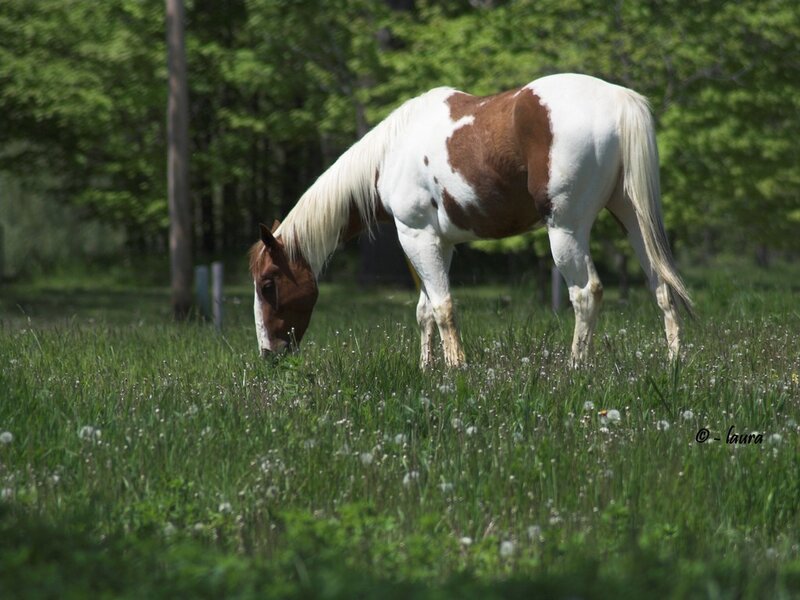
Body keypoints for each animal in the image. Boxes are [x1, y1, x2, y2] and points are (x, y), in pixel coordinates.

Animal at [249, 73, 693, 368]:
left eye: (268, 285)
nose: (269, 354)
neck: (389, 155)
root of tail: (619, 100)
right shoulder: (439, 243)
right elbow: (425, 310)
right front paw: (428, 370)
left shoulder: (416, 237)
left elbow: (443, 306)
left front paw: (455, 371)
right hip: (631, 217)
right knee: (660, 284)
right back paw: (672, 362)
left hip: (566, 229)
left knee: (586, 293)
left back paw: (575, 369)